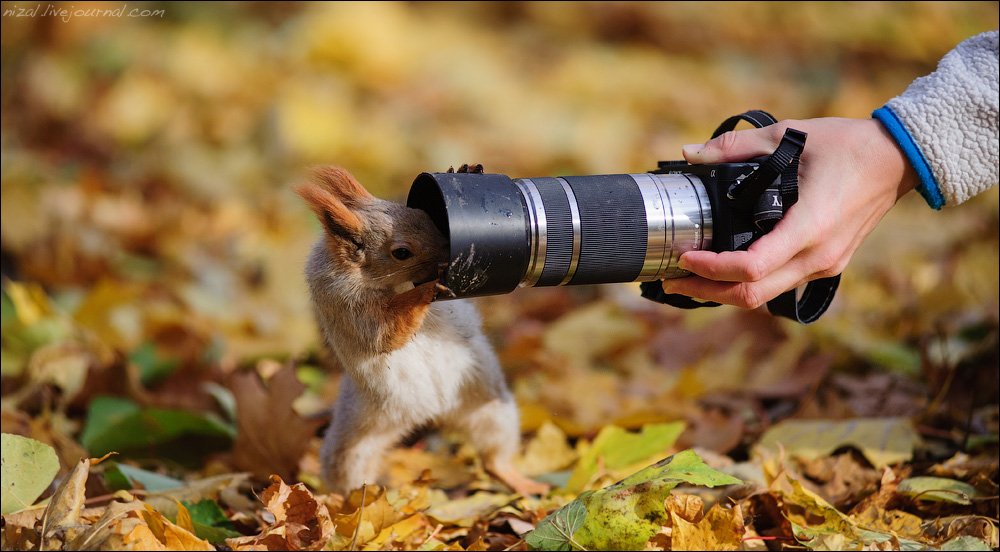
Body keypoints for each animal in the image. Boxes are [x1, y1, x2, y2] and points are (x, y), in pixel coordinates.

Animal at [296, 167, 548, 496]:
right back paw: (354, 502)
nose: (447, 251)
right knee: (345, 466)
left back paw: (521, 482)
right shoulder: (348, 307)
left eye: (423, 214)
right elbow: (386, 333)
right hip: (362, 432)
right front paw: (428, 289)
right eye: (402, 252)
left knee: (493, 457)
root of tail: (434, 412)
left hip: (490, 407)